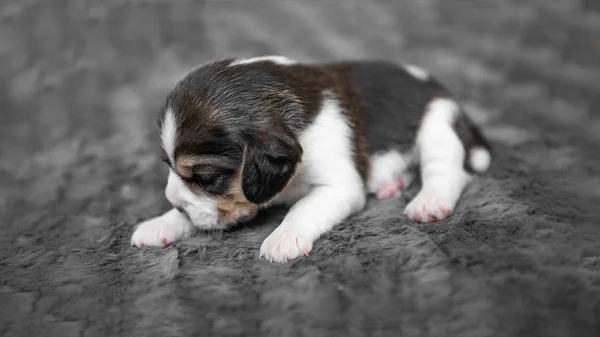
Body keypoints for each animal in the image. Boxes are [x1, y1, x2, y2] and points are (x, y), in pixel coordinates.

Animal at [129, 55, 490, 262]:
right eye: (169, 167)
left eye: (206, 178)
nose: (172, 202)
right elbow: (194, 215)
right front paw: (162, 222)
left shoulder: (338, 186)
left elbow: (303, 207)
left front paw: (282, 239)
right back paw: (391, 183)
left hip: (436, 124)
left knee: (447, 170)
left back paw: (430, 201)